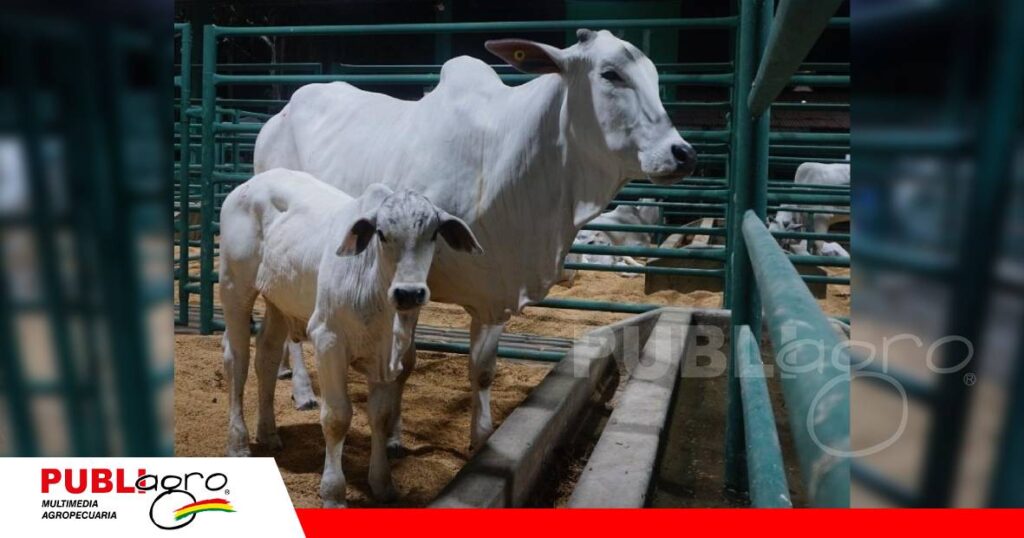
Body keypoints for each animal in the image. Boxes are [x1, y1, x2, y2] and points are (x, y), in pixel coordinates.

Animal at [218, 169, 482, 507]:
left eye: (434, 234)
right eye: (381, 233)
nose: (409, 292)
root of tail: (250, 183)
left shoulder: (388, 357)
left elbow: (381, 415)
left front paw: (382, 483)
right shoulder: (328, 341)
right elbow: (337, 417)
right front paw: (333, 492)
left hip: (278, 298)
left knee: (267, 355)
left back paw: (268, 433)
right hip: (234, 287)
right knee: (237, 359)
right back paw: (238, 443)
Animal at [253, 29, 696, 451]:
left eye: (655, 77)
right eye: (610, 74)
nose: (683, 153)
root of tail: (279, 115)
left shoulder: (496, 290)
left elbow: (482, 370)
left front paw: (481, 439)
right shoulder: (410, 282)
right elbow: (405, 363)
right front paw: (393, 437)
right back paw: (302, 390)